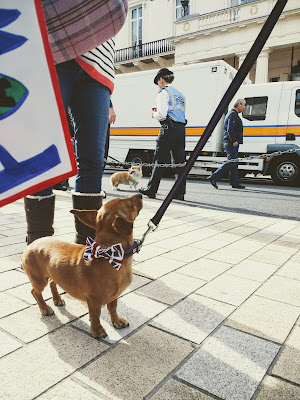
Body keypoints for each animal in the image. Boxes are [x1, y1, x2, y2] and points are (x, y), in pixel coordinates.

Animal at [21, 194, 143, 338]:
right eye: (130, 204)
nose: (140, 195)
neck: (111, 255)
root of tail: (31, 244)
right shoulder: (94, 300)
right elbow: (96, 315)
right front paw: (97, 330)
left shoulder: (114, 296)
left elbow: (112, 308)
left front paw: (117, 321)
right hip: (39, 280)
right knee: (35, 292)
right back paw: (45, 308)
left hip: (53, 273)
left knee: (52, 283)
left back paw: (57, 299)